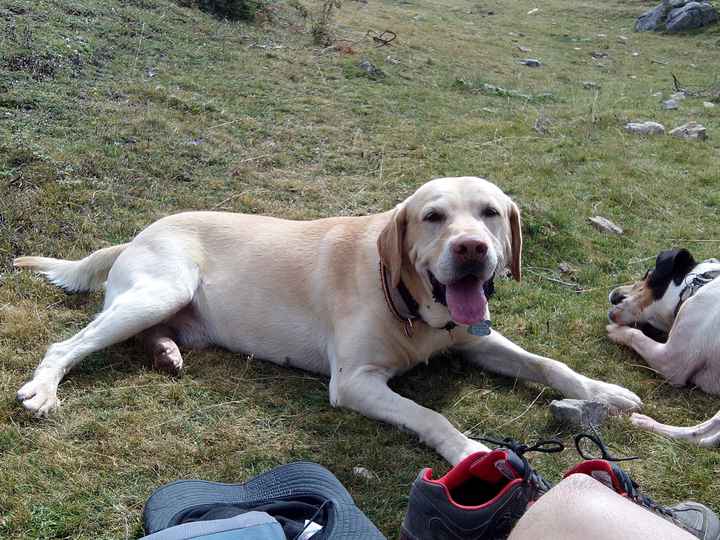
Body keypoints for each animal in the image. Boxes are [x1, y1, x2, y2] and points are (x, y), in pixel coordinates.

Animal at [14, 177, 640, 464]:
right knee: (66, 346)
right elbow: (429, 414)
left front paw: (605, 391)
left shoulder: (473, 340)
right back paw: (44, 389)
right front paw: (467, 451)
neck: (413, 307)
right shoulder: (355, 382)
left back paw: (166, 351)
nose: (471, 249)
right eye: (433, 217)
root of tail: (138, 234)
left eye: (489, 213)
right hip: (161, 290)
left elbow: (548, 363)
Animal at [608, 251, 720, 446]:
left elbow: (636, 335)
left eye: (648, 273)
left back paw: (644, 422)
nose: (614, 295)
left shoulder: (670, 361)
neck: (699, 285)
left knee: (702, 433)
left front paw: (616, 332)